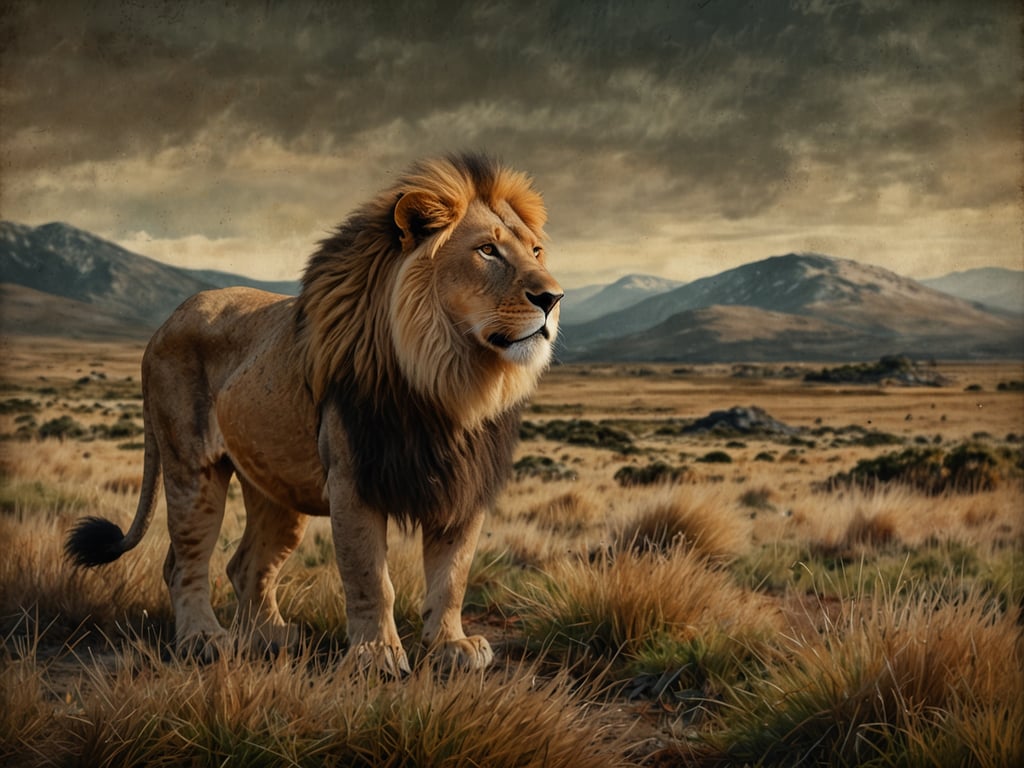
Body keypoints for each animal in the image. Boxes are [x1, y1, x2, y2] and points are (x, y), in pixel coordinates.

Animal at [65, 153, 562, 673]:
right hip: (191, 469)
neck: (451, 380)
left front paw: (452, 647)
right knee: (183, 562)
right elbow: (370, 578)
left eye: (537, 251)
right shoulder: (352, 481)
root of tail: (164, 324)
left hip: (277, 487)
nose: (553, 298)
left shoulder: (463, 486)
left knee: (246, 565)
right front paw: (376, 655)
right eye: (487, 250)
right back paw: (204, 639)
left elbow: (452, 577)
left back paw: (271, 638)